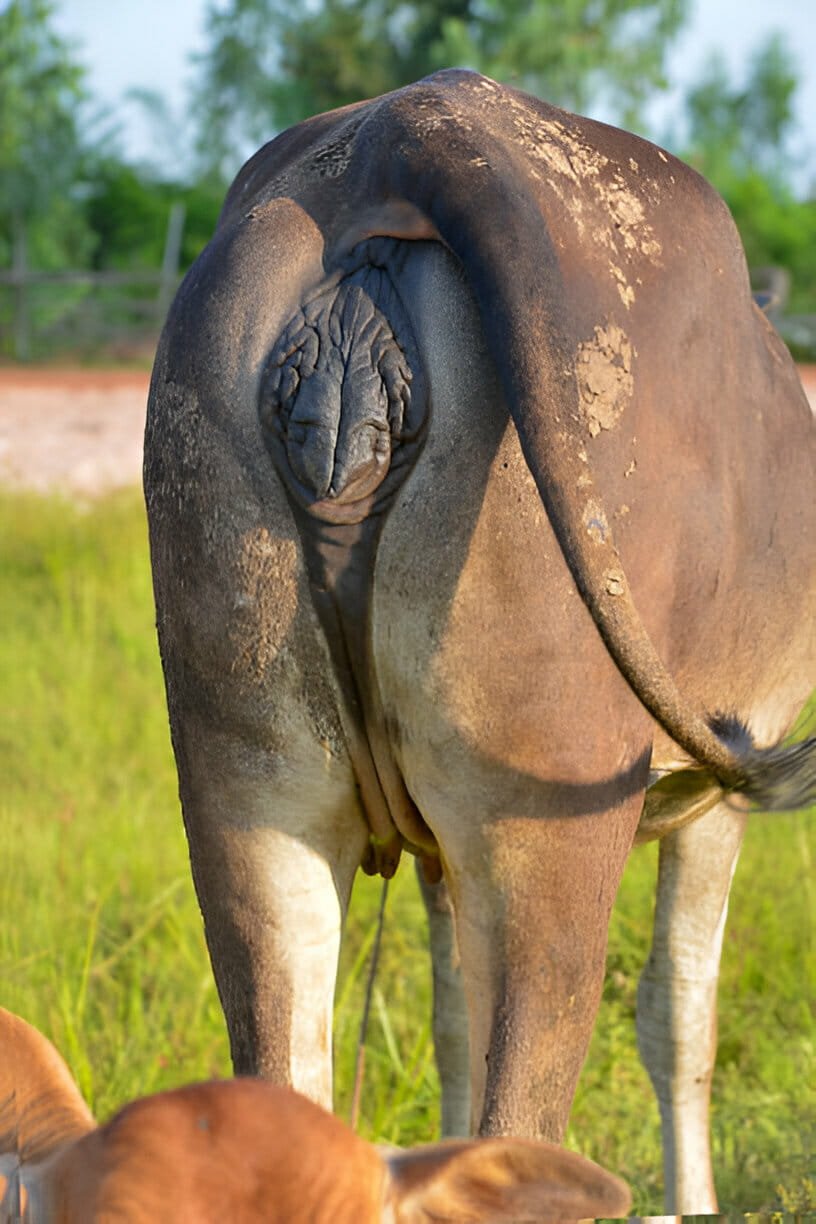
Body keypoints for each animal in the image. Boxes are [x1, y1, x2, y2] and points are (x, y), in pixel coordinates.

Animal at [143, 69, 816, 1215]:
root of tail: (414, 127)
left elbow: (451, 1018)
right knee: (529, 1109)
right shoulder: (722, 789)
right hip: (553, 812)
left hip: (245, 782)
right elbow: (680, 1018)